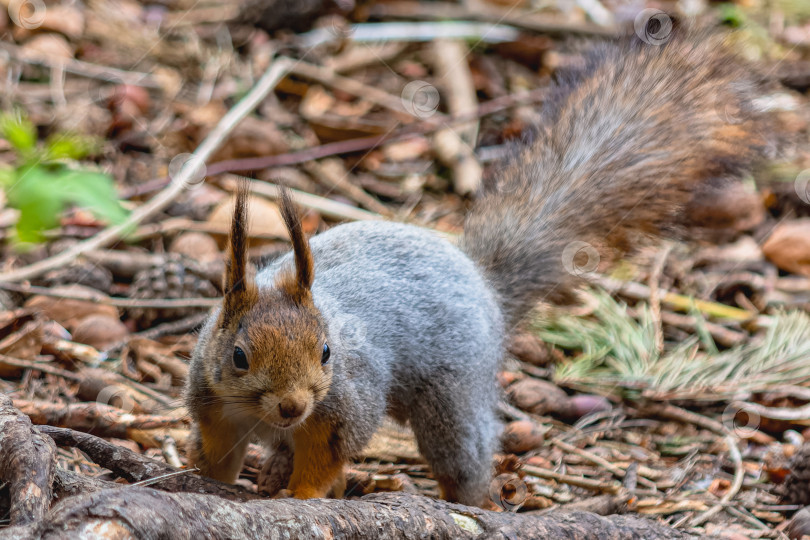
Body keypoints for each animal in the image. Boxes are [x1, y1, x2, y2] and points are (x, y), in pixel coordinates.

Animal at [183, 27, 772, 508]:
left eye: (328, 352)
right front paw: (199, 478)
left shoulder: (346, 404)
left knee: (463, 453)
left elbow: (327, 458)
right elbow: (216, 454)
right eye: (238, 356)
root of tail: (480, 278)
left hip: (453, 395)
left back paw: (473, 501)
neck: (258, 414)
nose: (292, 406)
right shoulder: (212, 405)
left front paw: (303, 497)